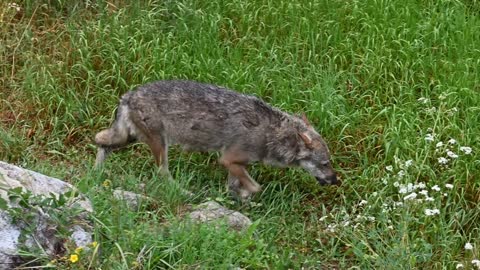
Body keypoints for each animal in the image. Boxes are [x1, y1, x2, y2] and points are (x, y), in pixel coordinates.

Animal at [94, 79, 338, 198]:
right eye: (325, 163)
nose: (336, 180)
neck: (272, 134)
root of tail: (128, 95)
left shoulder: (236, 164)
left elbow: (235, 186)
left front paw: (235, 199)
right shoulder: (228, 159)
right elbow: (255, 187)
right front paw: (245, 197)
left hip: (128, 139)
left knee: (100, 141)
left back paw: (95, 174)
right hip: (160, 146)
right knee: (162, 173)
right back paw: (185, 192)